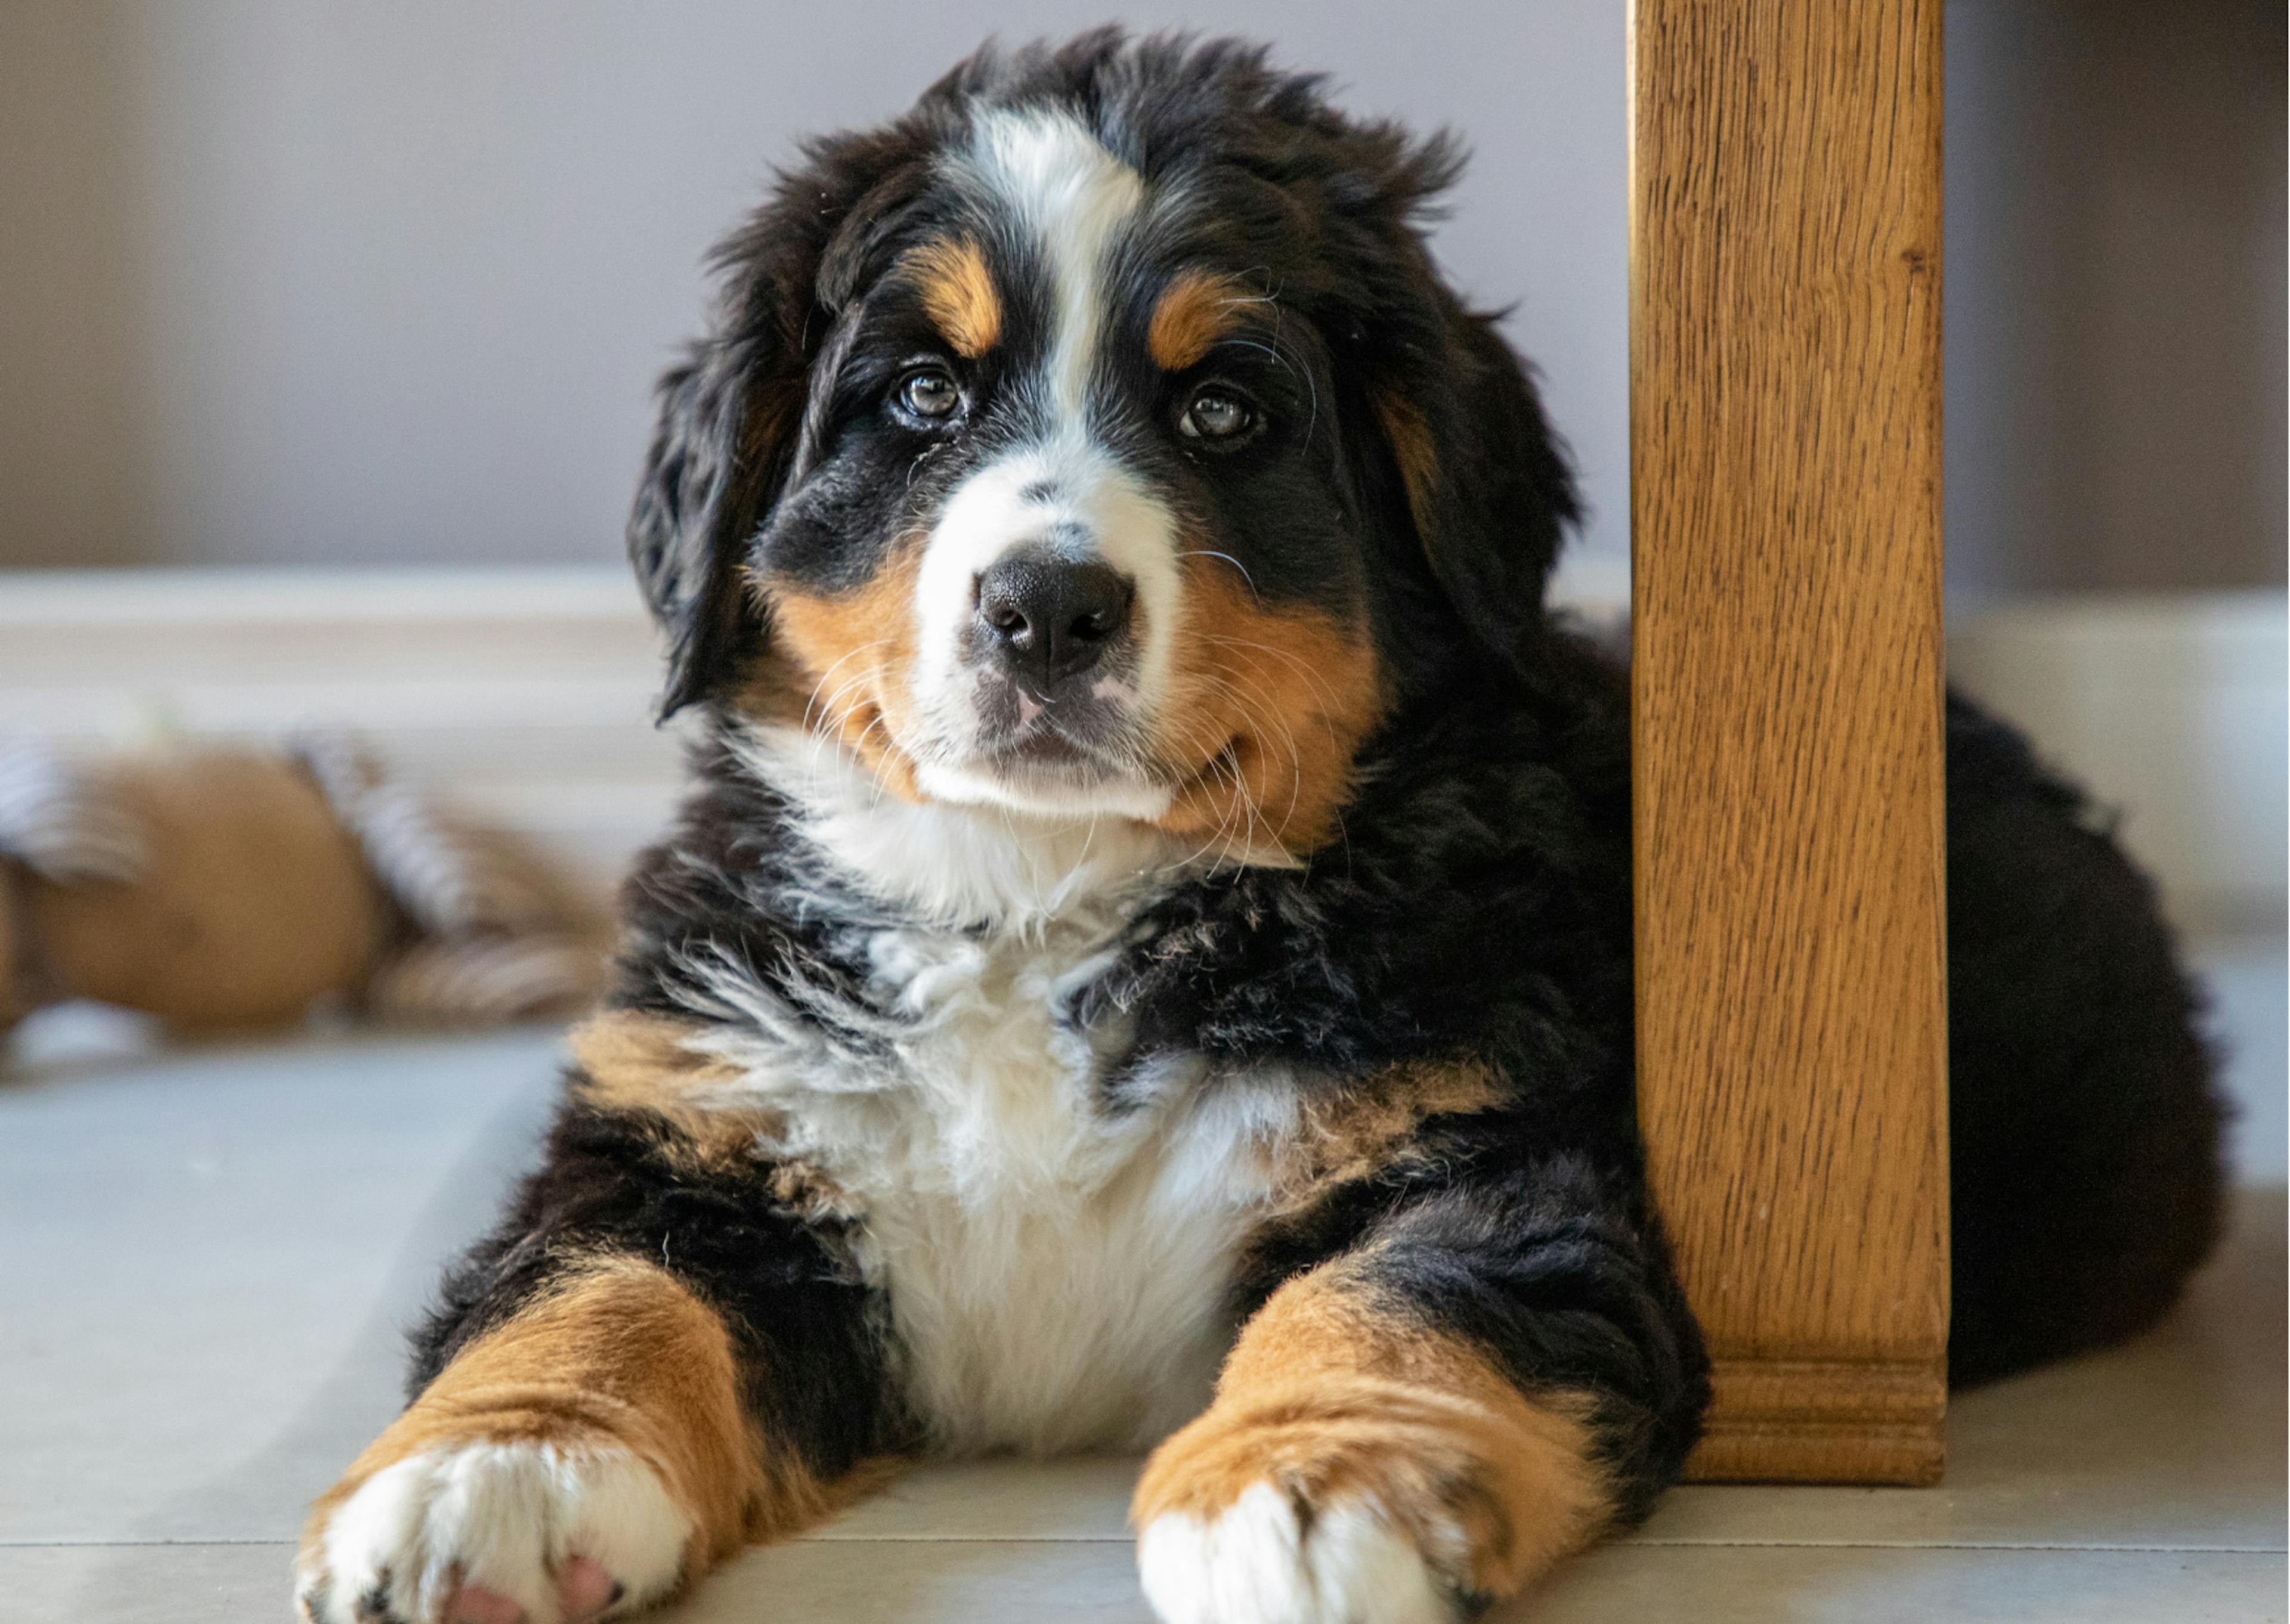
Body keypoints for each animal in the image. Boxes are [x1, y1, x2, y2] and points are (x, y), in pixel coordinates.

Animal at [295, 28, 2226, 1622]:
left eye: (1222, 408)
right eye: (918, 398)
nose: (1046, 609)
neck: (1045, 895)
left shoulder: (1491, 1134)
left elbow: (1410, 1292)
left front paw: (1310, 1482)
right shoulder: (699, 1135)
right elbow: (592, 1288)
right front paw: (492, 1471)